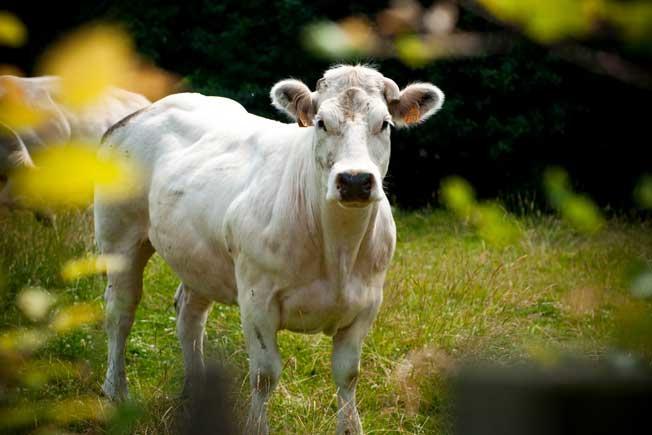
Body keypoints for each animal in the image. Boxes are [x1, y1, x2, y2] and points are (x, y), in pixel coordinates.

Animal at [95, 65, 444, 435]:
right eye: (321, 122)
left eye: (384, 124)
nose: (353, 180)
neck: (338, 251)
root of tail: (142, 112)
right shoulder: (256, 299)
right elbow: (264, 375)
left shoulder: (366, 303)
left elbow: (348, 375)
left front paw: (351, 428)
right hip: (119, 237)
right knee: (120, 311)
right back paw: (116, 391)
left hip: (198, 256)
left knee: (189, 315)